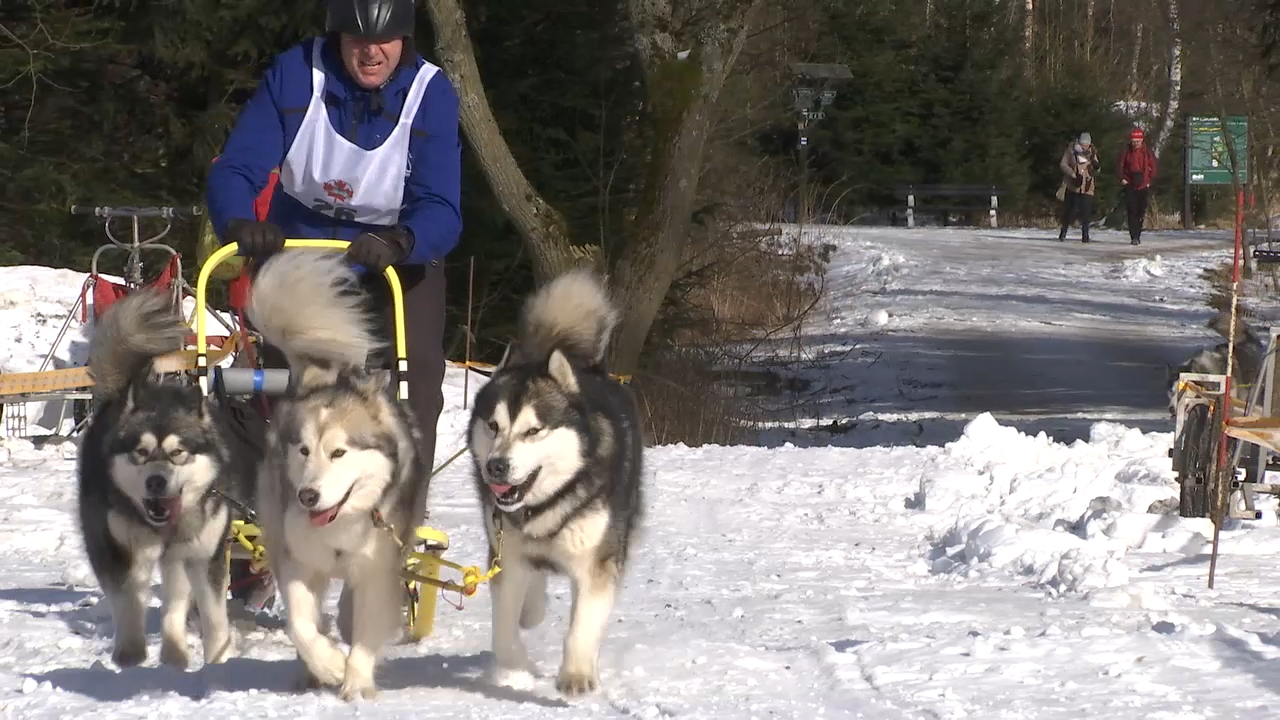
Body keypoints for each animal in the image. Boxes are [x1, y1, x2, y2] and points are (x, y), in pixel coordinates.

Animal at [76, 286, 257, 666]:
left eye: (178, 453)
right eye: (141, 452)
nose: (156, 481)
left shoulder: (205, 555)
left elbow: (213, 614)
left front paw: (218, 661)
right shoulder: (118, 550)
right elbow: (127, 601)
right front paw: (130, 656)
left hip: (178, 558)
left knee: (174, 604)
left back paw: (175, 654)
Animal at [247, 249, 432, 696]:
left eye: (339, 452)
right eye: (303, 450)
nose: (307, 496)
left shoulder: (378, 567)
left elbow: (365, 626)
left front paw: (357, 682)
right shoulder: (298, 561)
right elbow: (300, 625)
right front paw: (328, 664)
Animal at [471, 266, 645, 691]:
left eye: (534, 431)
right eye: (493, 425)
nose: (496, 466)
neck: (546, 505)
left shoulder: (597, 562)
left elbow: (583, 625)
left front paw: (577, 674)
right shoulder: (507, 553)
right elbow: (504, 631)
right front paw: (517, 668)